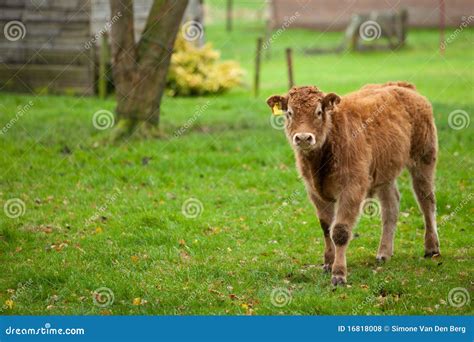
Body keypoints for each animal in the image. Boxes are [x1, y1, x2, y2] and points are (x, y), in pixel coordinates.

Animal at [266, 81, 440, 284]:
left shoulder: (352, 188)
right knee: (391, 206)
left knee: (426, 200)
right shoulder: (314, 192)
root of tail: (403, 86)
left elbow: (340, 231)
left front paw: (339, 273)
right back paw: (384, 253)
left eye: (319, 111)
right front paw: (328, 263)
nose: (303, 138)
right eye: (289, 112)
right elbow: (326, 228)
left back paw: (431, 248)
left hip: (424, 158)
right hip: (384, 173)